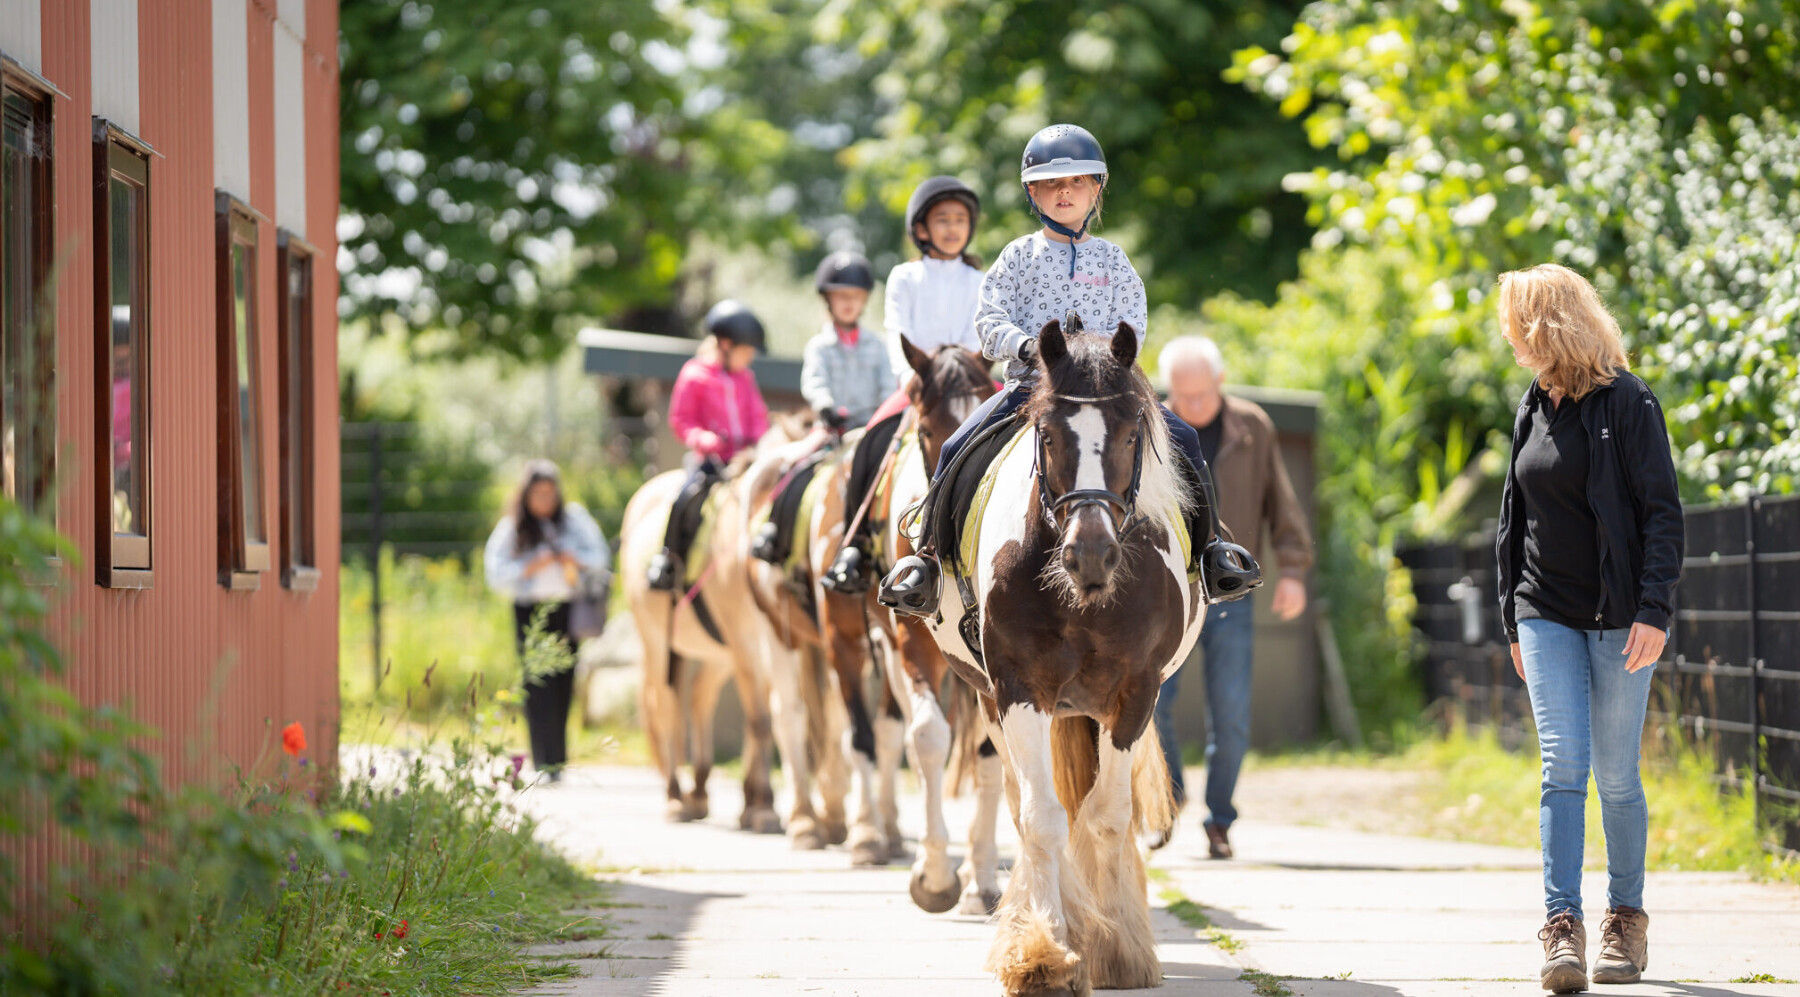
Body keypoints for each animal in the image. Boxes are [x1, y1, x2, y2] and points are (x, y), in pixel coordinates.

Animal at [820, 340, 1015, 907]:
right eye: (927, 431)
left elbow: (990, 753)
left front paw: (981, 877)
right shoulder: (911, 640)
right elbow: (927, 737)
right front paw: (935, 875)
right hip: (846, 639)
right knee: (869, 736)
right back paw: (869, 834)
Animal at [928, 322, 1209, 986]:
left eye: (1132, 434)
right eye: (1049, 434)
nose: (1091, 554)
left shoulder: (1135, 693)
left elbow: (1106, 816)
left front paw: (1119, 950)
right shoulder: (1018, 689)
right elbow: (1043, 819)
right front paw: (1045, 948)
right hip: (994, 704)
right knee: (1021, 802)